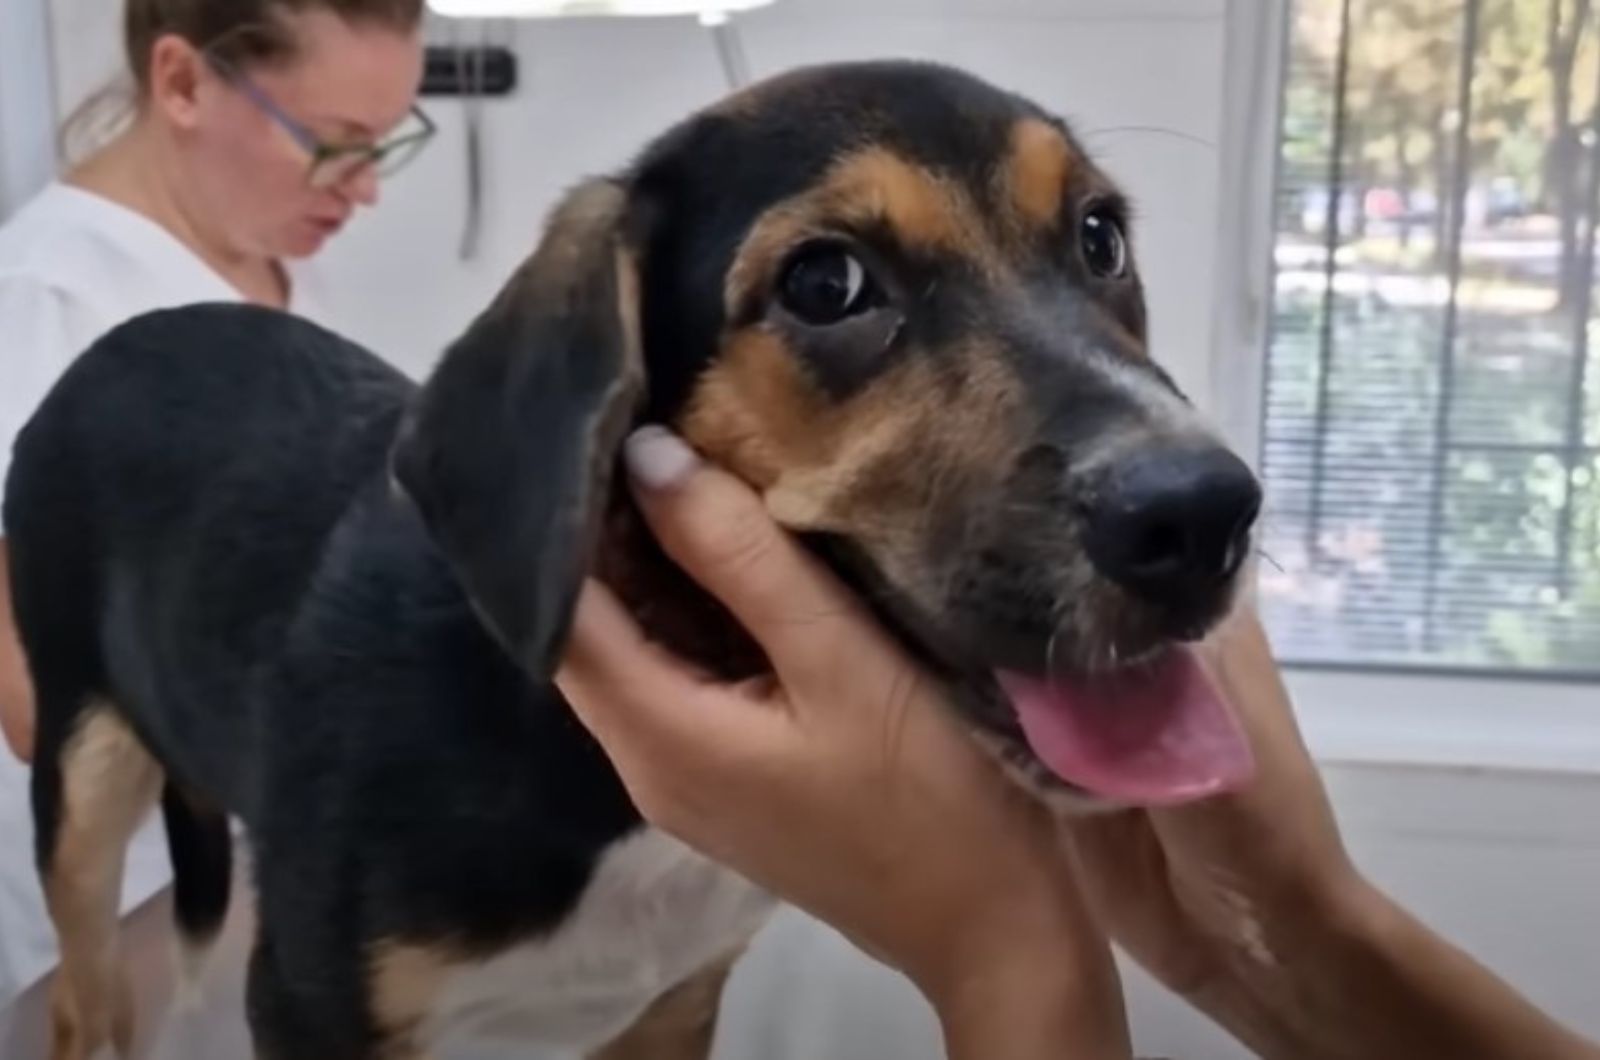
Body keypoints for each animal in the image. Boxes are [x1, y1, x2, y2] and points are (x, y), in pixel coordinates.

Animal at [9, 60, 1260, 1060]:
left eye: (1099, 238)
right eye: (826, 284)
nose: (1204, 517)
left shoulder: (672, 1006)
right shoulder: (310, 1006)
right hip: (80, 780)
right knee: (82, 997)